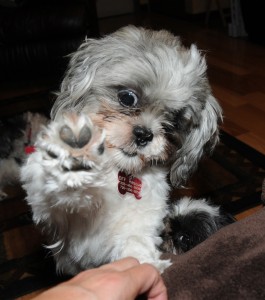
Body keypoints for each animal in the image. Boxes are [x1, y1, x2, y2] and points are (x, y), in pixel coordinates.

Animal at [20, 25, 229, 274]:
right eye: (127, 98)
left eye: (175, 120)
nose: (144, 134)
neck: (119, 174)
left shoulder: (139, 223)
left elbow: (134, 241)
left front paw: (146, 264)